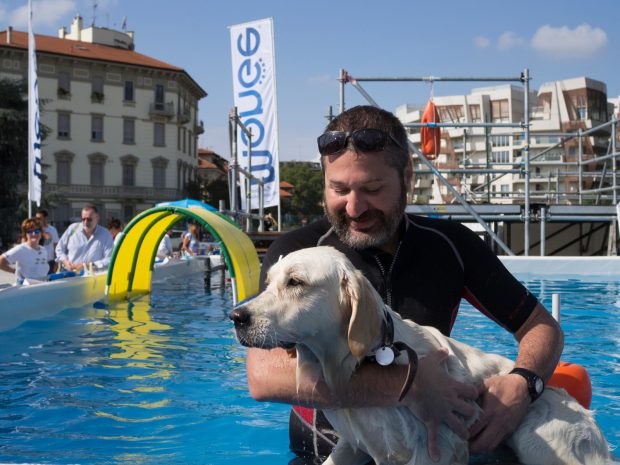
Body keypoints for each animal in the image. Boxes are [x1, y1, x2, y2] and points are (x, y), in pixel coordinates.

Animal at [230, 246, 612, 464]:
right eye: (269, 281)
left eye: (295, 282)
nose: (236, 317)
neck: (362, 360)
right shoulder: (352, 446)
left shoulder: (435, 451)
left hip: (538, 440)